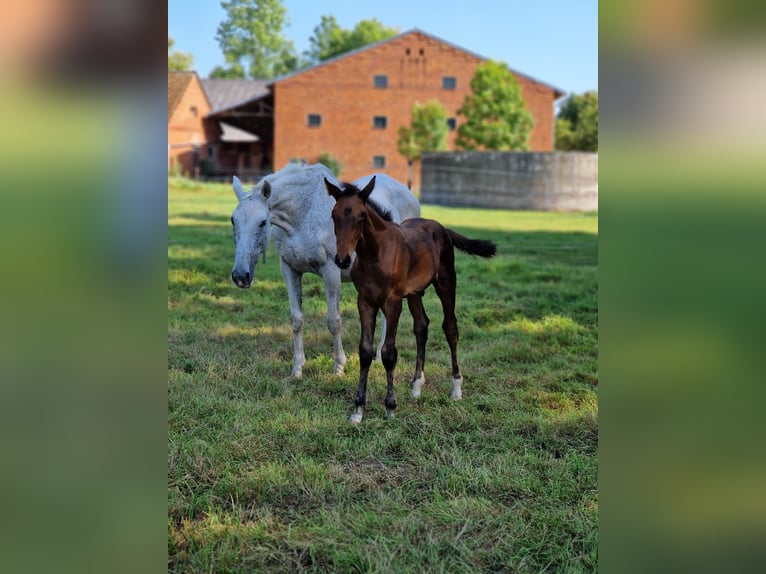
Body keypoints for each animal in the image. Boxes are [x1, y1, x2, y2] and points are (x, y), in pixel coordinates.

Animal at [230, 163, 420, 379]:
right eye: (233, 220)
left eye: (263, 222)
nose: (240, 276)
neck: (303, 214)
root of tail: (409, 194)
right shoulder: (289, 269)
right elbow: (297, 319)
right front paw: (297, 370)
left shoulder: (331, 271)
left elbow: (333, 321)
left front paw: (338, 367)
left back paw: (380, 358)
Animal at [325, 177, 497, 423]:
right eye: (334, 215)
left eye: (361, 216)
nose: (342, 259)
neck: (375, 255)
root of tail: (442, 228)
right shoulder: (365, 301)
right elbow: (365, 351)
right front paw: (357, 410)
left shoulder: (392, 302)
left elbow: (388, 353)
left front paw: (390, 407)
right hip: (415, 293)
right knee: (421, 326)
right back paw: (416, 386)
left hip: (446, 283)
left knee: (450, 328)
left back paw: (456, 388)